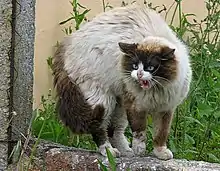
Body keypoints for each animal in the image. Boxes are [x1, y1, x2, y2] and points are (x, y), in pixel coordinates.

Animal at [52, 4, 192, 160]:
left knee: (114, 130)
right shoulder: (135, 105)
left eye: (150, 67)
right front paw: (140, 150)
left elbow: (161, 134)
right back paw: (110, 152)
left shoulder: (165, 109)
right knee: (99, 129)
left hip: (119, 104)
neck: (155, 90)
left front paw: (160, 153)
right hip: (103, 100)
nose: (139, 74)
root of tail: (67, 42)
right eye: (135, 66)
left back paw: (126, 152)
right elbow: (139, 131)